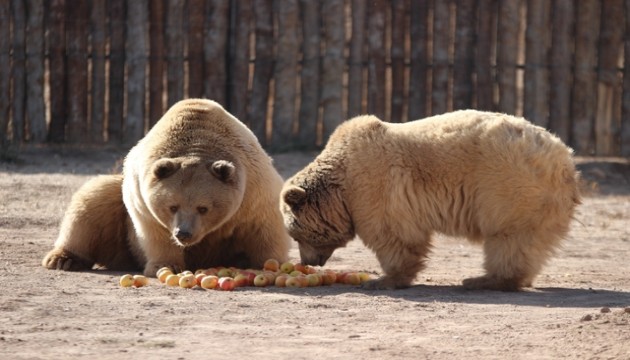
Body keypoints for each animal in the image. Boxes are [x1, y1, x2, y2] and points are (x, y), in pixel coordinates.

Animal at [43, 98, 292, 276]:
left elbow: (265, 228)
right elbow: (154, 233)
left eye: (203, 208)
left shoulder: (253, 192)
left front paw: (269, 263)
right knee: (93, 200)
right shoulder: (142, 198)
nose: (184, 233)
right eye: (172, 206)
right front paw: (167, 266)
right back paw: (63, 259)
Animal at [282, 110, 584, 292]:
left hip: (508, 185)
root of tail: (565, 160)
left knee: (509, 238)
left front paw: (384, 279)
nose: (310, 262)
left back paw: (482, 279)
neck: (341, 183)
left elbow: (393, 234)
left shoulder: (373, 185)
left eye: (296, 235)